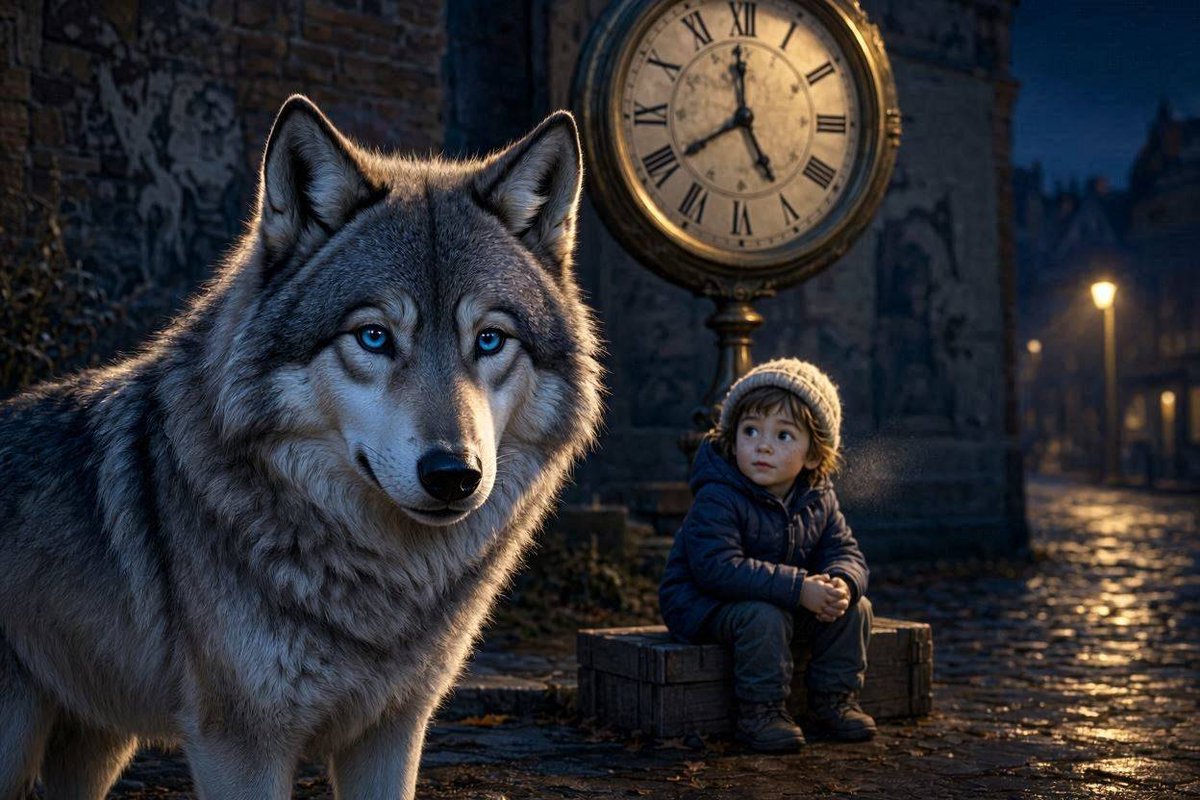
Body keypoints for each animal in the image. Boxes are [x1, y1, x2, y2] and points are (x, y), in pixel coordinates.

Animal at [0, 95, 603, 799]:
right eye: (373, 336)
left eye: (489, 340)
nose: (454, 473)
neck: (380, 582)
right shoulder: (239, 746)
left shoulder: (394, 732)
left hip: (93, 748)